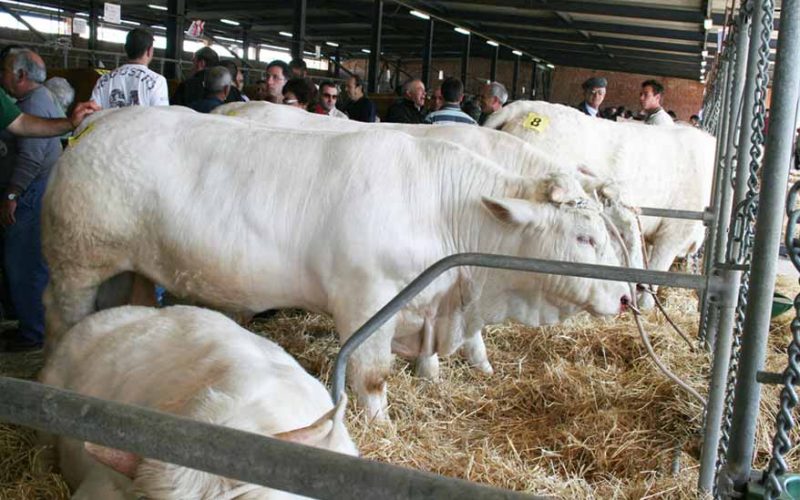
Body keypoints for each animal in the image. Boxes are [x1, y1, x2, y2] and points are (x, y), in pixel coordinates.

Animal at [43, 107, 640, 420]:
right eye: (587, 237)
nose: (628, 295)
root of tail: (102, 119)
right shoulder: (369, 298)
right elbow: (371, 373)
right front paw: (380, 423)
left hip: (134, 268)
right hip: (76, 258)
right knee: (59, 312)